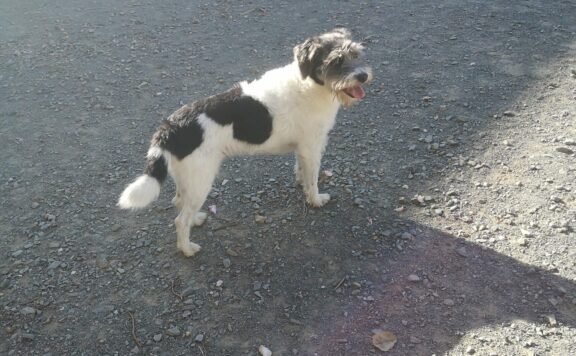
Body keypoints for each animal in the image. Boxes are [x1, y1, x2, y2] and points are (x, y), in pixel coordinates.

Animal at [120, 27, 374, 256]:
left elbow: (301, 170)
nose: (363, 76)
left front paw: (301, 183)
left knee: (178, 201)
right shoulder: (312, 147)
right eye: (337, 60)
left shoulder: (303, 149)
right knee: (180, 220)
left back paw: (196, 219)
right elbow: (312, 180)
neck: (310, 83)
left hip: (188, 179)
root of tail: (170, 127)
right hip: (201, 180)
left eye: (355, 54)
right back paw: (187, 248)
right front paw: (315, 199)